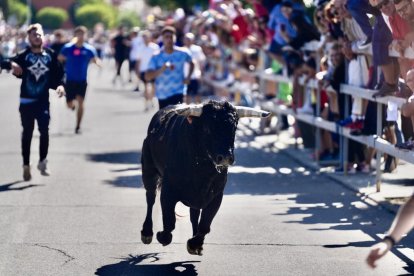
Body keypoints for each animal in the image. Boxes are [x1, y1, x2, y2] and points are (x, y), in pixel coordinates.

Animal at [141, 100, 270, 256]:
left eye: (234, 128)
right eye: (208, 128)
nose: (226, 158)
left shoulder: (216, 196)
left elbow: (205, 225)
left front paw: (195, 244)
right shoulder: (168, 191)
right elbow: (169, 222)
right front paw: (162, 236)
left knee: (193, 214)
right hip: (149, 171)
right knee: (150, 198)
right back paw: (147, 233)